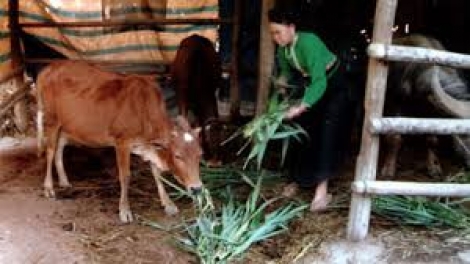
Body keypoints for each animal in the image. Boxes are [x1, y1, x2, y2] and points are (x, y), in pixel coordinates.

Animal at [34, 60, 200, 223]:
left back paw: (64, 181)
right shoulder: (122, 142)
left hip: (67, 125)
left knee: (59, 147)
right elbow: (125, 176)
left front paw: (168, 204)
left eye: (200, 155)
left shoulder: (151, 147)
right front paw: (125, 211)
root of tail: (48, 68)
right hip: (51, 119)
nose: (197, 188)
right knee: (50, 150)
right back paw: (49, 187)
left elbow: (157, 173)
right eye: (178, 156)